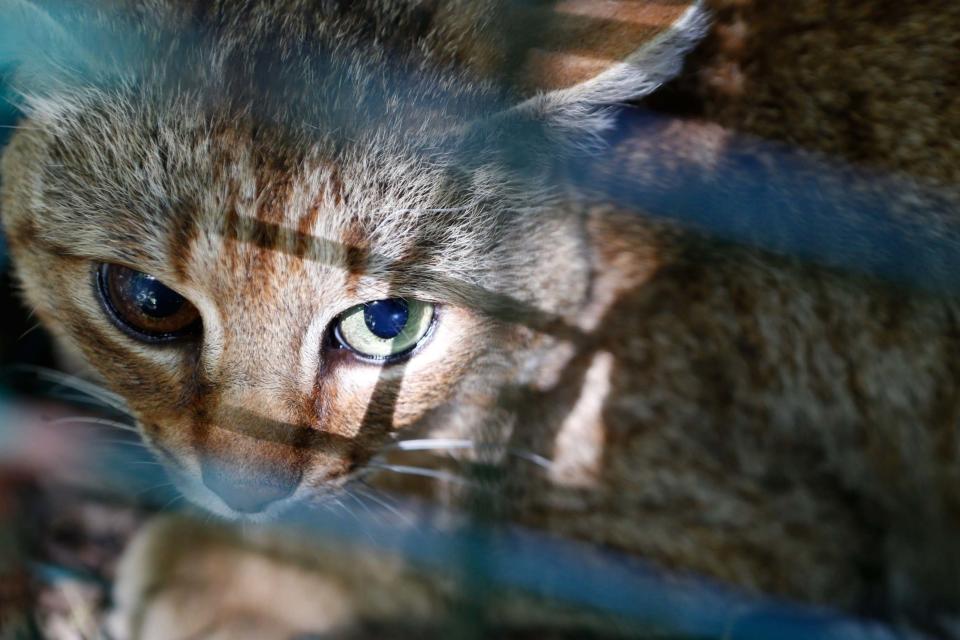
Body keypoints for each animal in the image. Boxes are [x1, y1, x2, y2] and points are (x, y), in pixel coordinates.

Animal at [1, 0, 960, 636]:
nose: (245, 492)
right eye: (149, 304)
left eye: (389, 321)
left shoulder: (753, 547)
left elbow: (467, 547)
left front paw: (232, 571)